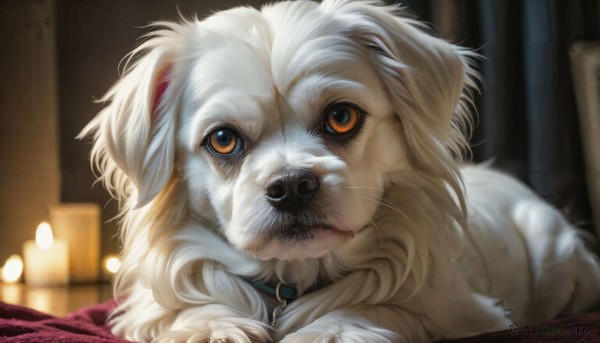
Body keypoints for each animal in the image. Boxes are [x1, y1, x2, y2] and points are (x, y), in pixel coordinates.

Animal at [79, 1, 600, 342]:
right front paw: (213, 326)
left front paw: (332, 327)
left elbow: (382, 306)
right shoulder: (147, 308)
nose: (291, 186)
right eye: (223, 139)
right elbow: (182, 312)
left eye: (342, 117)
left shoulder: (469, 313)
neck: (290, 282)